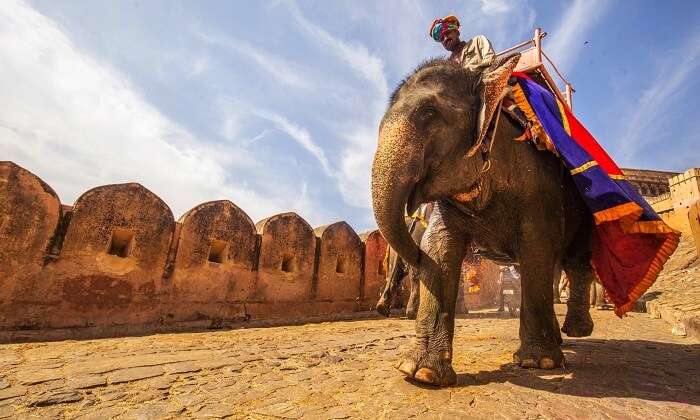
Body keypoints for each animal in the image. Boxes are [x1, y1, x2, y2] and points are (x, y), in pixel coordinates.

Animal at [372, 53, 596, 388]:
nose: (416, 257)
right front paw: (421, 374)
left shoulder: (539, 186)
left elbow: (537, 247)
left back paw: (576, 332)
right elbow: (440, 249)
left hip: (582, 203)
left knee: (575, 261)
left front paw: (538, 363)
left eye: (429, 113)